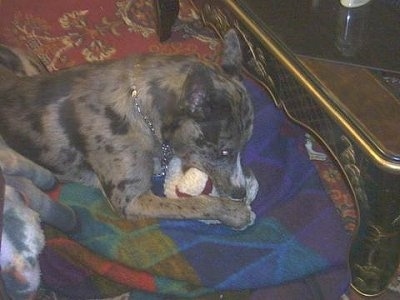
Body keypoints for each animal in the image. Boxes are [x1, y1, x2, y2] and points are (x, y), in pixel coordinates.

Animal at [0, 29, 256, 229]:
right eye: (224, 151)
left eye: (244, 146)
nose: (241, 193)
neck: (141, 112)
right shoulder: (131, 200)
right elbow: (193, 203)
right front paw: (233, 212)